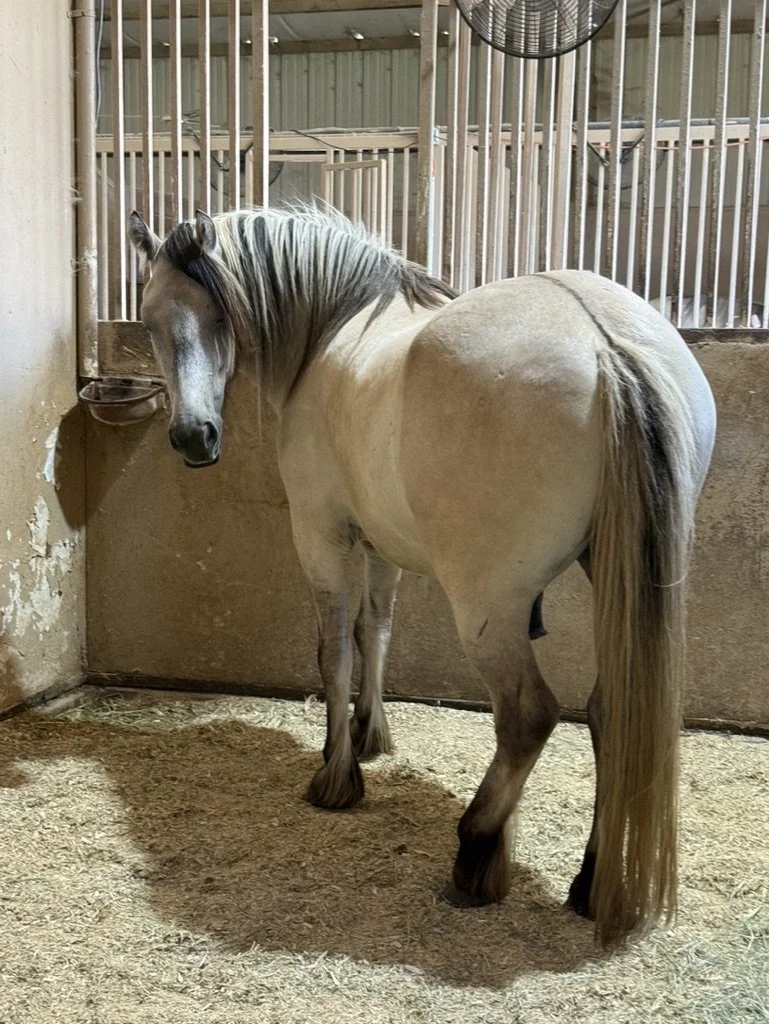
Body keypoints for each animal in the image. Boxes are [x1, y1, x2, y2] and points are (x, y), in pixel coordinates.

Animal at [128, 205, 717, 946]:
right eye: (151, 321)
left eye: (216, 315)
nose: (192, 437)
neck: (335, 325)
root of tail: (604, 345)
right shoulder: (382, 545)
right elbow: (374, 633)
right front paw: (369, 735)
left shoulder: (321, 537)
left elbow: (333, 650)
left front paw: (336, 777)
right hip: (616, 582)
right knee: (610, 712)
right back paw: (589, 881)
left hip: (488, 606)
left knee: (528, 716)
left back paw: (478, 853)